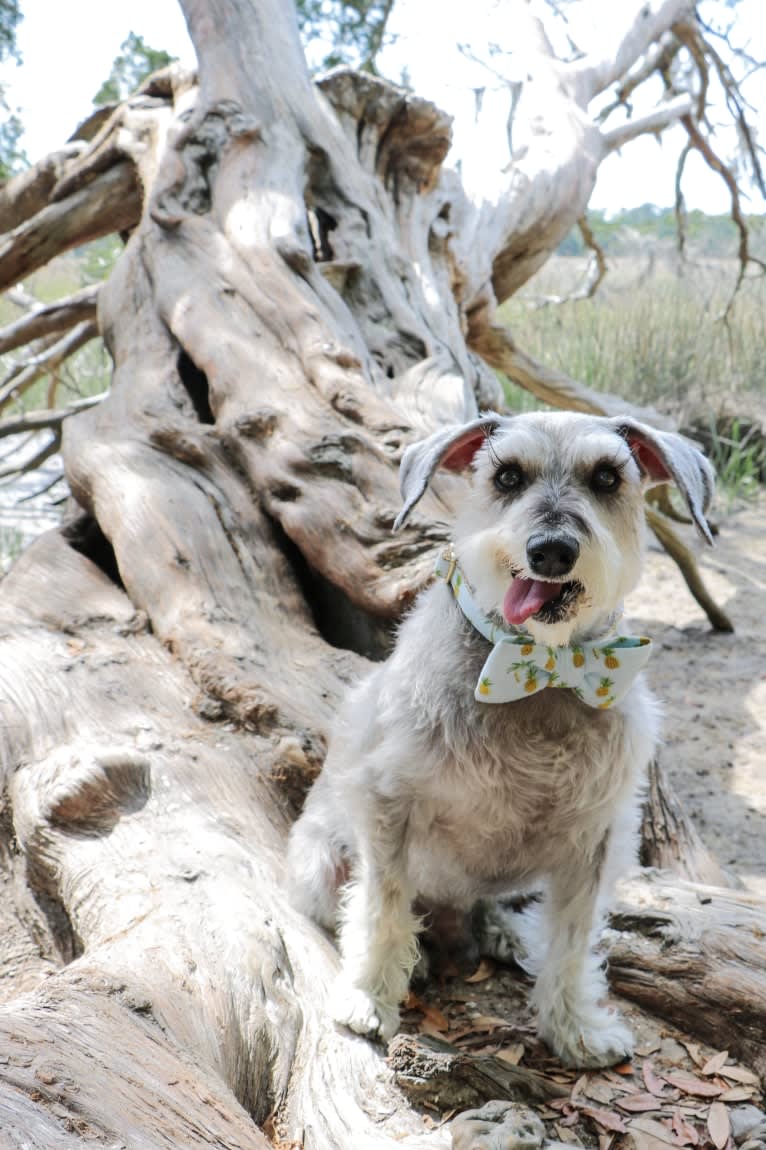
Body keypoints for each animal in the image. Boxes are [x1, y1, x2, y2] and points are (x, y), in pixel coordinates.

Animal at [286, 411, 708, 1067]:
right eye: (507, 475)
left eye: (607, 477)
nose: (552, 550)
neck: (541, 672)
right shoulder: (389, 807)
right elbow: (382, 908)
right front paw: (368, 1000)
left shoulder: (596, 836)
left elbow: (573, 938)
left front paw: (575, 1026)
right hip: (320, 859)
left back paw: (505, 932)